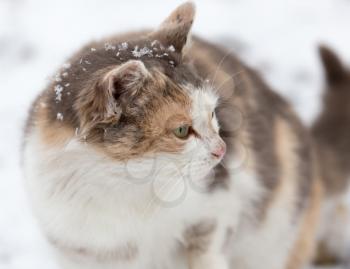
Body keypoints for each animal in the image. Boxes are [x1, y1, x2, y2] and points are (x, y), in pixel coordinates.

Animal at [21, 2, 348, 268]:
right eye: (181, 130)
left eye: (213, 114)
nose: (221, 149)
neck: (126, 189)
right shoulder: (84, 248)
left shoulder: (218, 207)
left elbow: (207, 248)